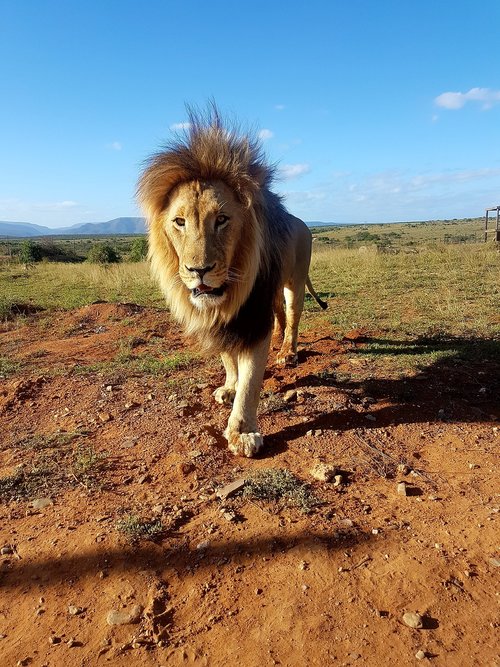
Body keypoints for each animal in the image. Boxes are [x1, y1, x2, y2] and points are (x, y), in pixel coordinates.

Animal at [137, 107, 326, 460]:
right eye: (179, 222)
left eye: (222, 220)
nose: (199, 270)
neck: (230, 294)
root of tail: (302, 223)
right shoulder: (220, 319)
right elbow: (229, 358)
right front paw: (230, 386)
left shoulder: (253, 317)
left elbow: (251, 382)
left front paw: (243, 432)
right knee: (281, 316)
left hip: (294, 281)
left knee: (293, 319)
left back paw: (287, 352)